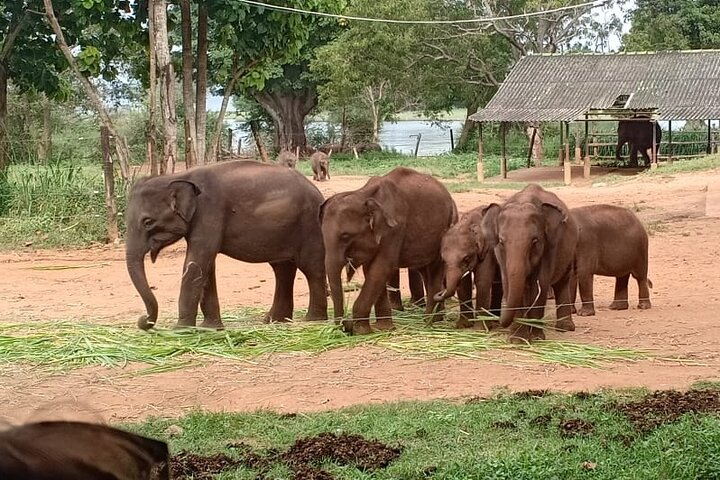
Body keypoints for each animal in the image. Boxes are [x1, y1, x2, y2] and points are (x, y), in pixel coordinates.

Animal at [125, 161, 328, 330]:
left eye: (147, 222)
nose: (144, 320)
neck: (178, 176)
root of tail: (318, 193)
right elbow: (206, 267)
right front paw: (210, 328)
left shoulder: (210, 212)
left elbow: (196, 263)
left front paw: (180, 330)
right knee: (283, 269)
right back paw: (275, 321)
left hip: (309, 226)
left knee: (311, 268)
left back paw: (312, 320)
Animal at [320, 167, 456, 336]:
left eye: (345, 236)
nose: (345, 326)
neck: (363, 195)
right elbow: (371, 271)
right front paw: (382, 328)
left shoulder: (394, 229)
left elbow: (380, 269)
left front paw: (360, 331)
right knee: (425, 270)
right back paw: (437, 317)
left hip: (445, 228)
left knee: (435, 269)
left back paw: (430, 320)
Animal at [478, 183, 580, 342]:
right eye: (501, 241)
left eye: (535, 241)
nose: (497, 320)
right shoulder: (501, 256)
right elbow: (508, 283)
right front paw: (517, 340)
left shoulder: (549, 246)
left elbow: (541, 284)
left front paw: (537, 338)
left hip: (570, 249)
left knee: (562, 282)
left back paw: (565, 328)